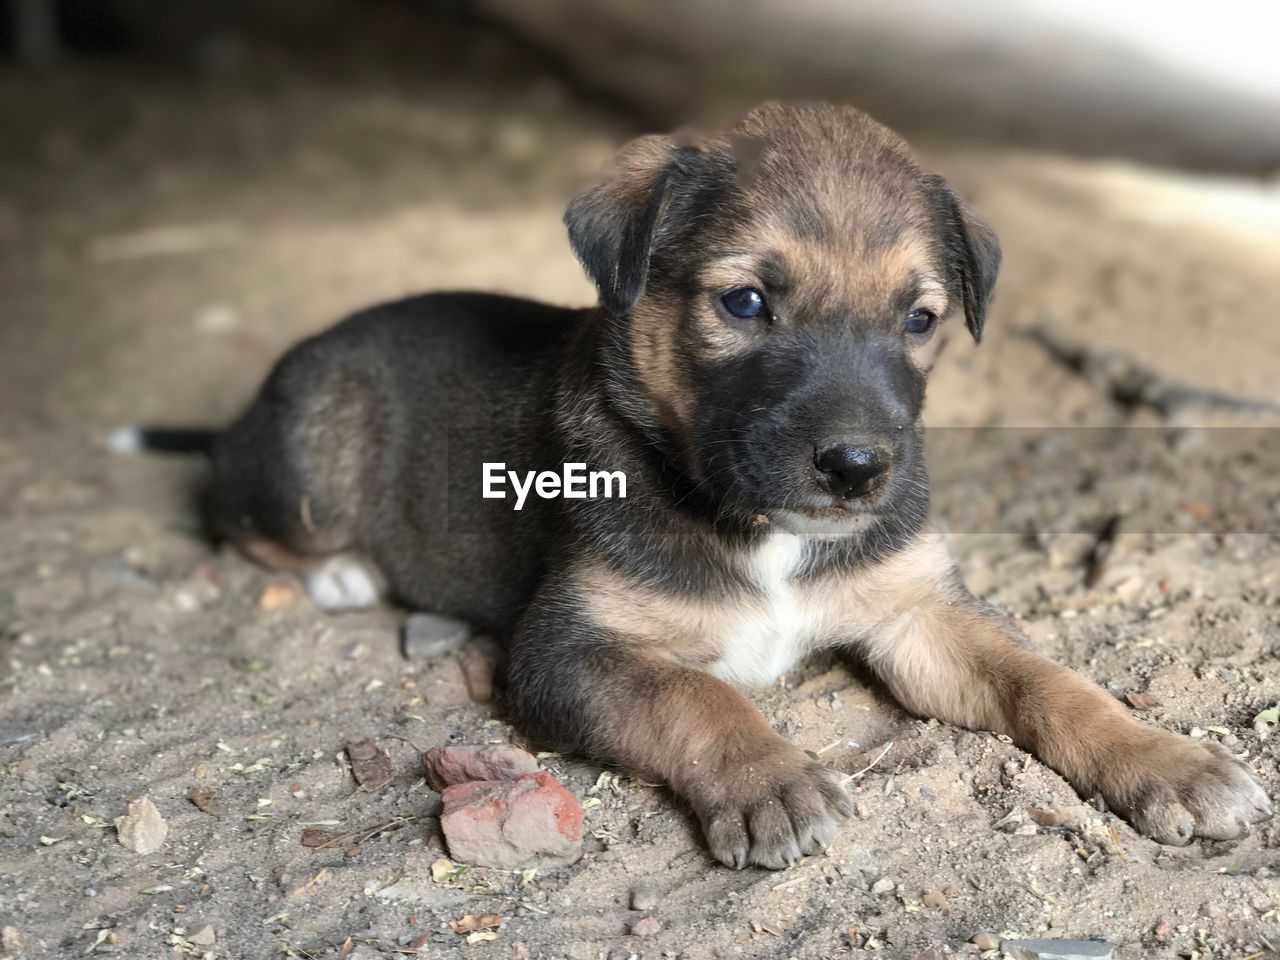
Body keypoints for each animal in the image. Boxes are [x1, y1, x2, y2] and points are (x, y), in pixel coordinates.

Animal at [199, 101, 1269, 870]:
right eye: (746, 302)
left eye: (920, 320)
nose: (858, 470)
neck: (763, 530)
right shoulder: (565, 650)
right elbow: (695, 696)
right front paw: (770, 784)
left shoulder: (918, 611)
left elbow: (1048, 679)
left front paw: (1168, 761)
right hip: (311, 461)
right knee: (228, 507)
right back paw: (338, 570)